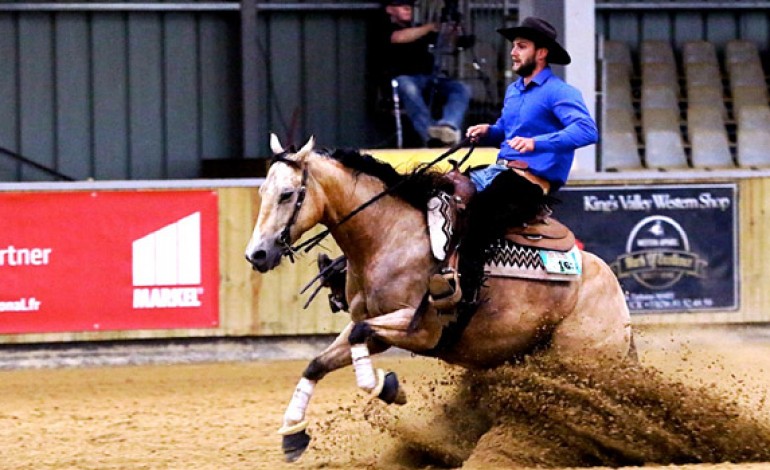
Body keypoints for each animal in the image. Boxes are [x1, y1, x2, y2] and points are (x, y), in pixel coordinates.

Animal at [244, 134, 632, 460]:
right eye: (263, 191)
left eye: (288, 194)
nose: (257, 254)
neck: (390, 236)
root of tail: (616, 296)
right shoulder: (375, 328)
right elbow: (318, 362)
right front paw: (293, 433)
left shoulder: (419, 329)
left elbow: (358, 339)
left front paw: (387, 387)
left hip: (581, 360)